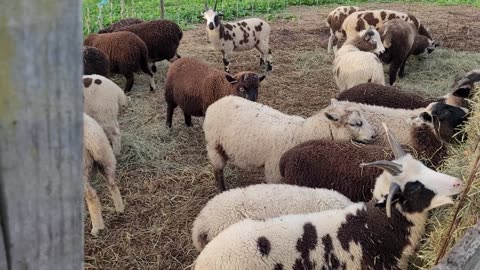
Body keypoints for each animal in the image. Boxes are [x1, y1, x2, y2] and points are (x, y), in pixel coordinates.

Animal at [202, 96, 376, 191]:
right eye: (355, 123)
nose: (375, 135)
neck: (302, 133)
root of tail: (219, 101)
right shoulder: (274, 173)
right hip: (214, 146)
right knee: (218, 171)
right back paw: (222, 189)